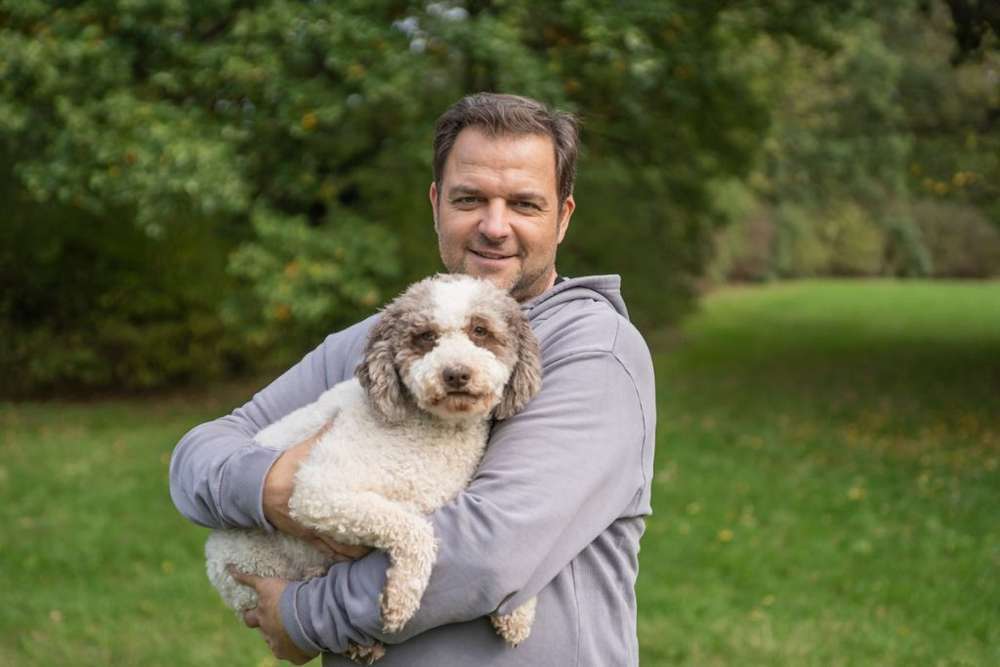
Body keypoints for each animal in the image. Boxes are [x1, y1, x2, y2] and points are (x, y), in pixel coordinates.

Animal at [204, 272, 544, 664]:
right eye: (425, 337)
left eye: (480, 330)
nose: (456, 374)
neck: (430, 430)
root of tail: (210, 551)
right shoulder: (318, 493)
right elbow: (415, 529)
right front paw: (401, 599)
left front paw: (517, 612)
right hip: (255, 569)